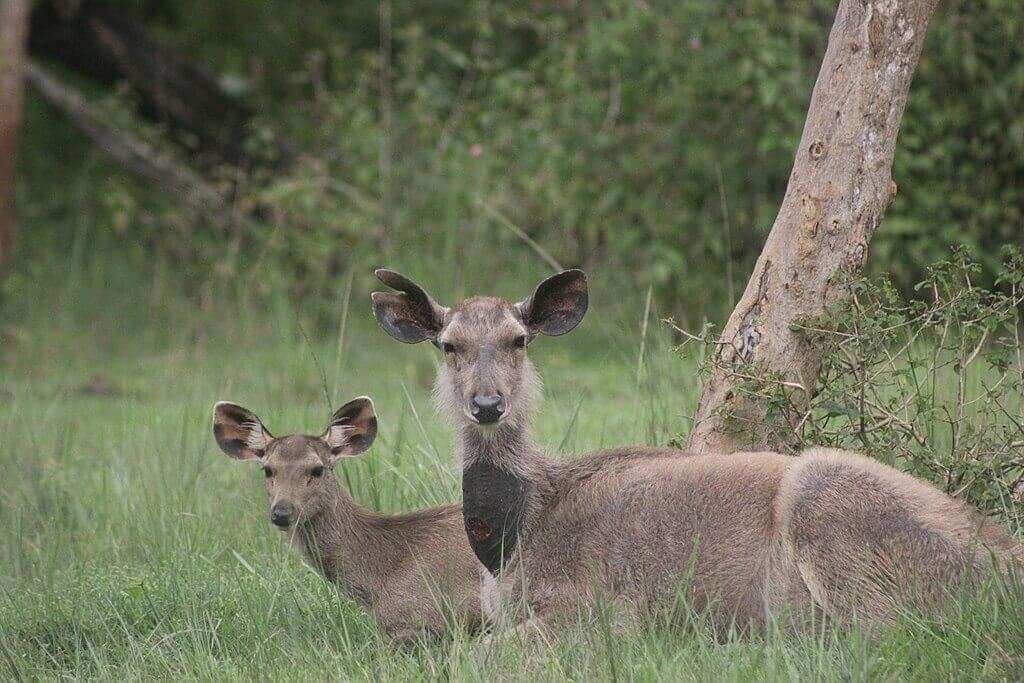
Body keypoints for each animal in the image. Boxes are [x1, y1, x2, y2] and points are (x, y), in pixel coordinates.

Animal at [374, 270, 1024, 638]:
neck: (513, 540)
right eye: (448, 345)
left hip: (833, 510)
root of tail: (1006, 564)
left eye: (519, 339)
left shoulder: (603, 608)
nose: (487, 404)